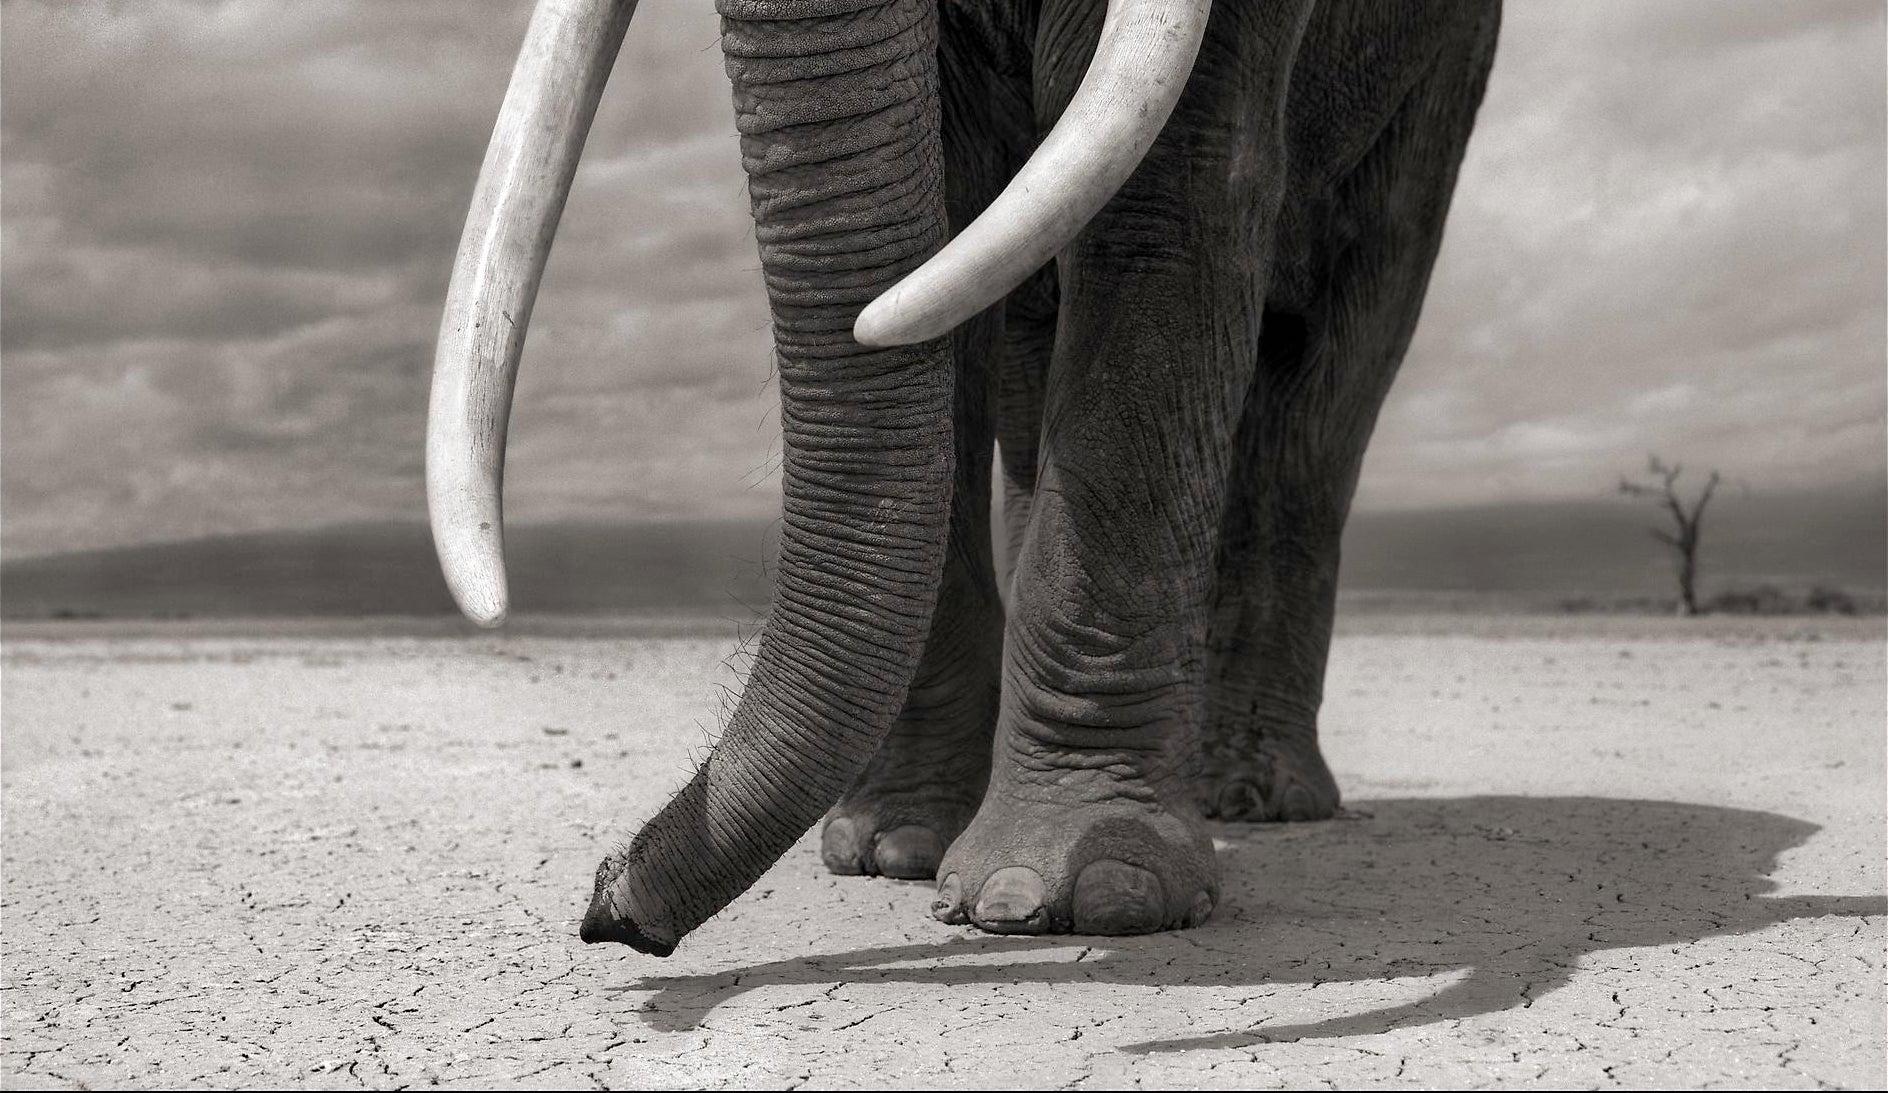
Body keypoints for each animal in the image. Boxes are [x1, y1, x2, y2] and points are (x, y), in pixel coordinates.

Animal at [428, 0, 1502, 958]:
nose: (609, 907)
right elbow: (949, 215)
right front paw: (889, 853)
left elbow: (1165, 199)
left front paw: (1074, 899)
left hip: (1445, 73)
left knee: (1334, 356)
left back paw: (1255, 797)